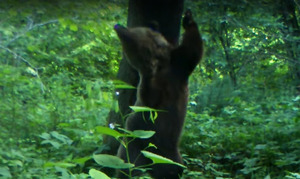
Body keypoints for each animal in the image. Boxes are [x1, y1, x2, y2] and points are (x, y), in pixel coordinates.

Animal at [113, 10, 203, 179]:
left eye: (134, 30)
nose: (117, 26)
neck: (161, 63)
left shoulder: (178, 67)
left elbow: (194, 50)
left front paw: (188, 19)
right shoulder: (151, 90)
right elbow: (148, 98)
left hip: (172, 157)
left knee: (176, 167)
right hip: (138, 150)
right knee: (132, 167)